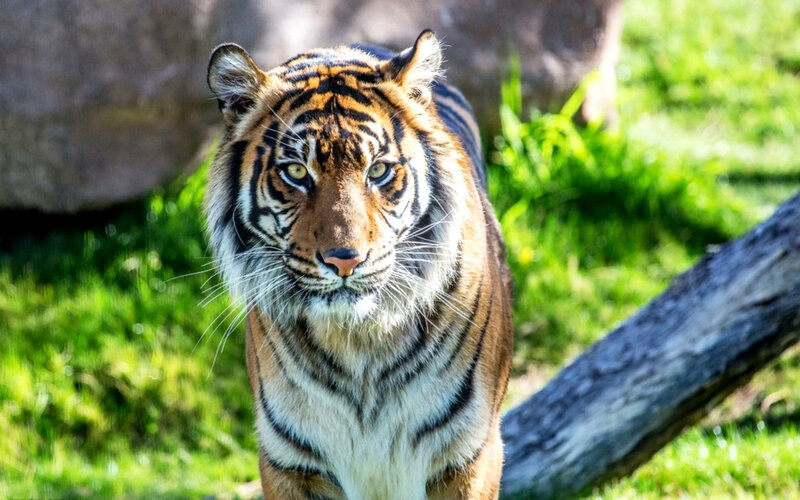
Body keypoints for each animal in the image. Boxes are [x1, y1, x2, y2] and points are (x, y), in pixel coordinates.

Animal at [204, 30, 513, 499]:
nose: (344, 260)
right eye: (296, 172)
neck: (359, 344)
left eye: (379, 170)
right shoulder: (289, 463)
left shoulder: (469, 455)